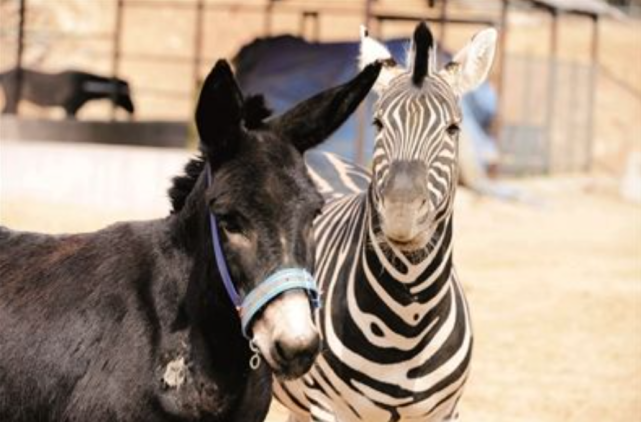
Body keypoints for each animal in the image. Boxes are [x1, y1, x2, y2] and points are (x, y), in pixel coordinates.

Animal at [272, 22, 498, 422]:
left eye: (454, 129)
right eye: (378, 124)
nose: (401, 216)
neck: (410, 318)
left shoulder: (445, 411)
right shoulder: (326, 407)